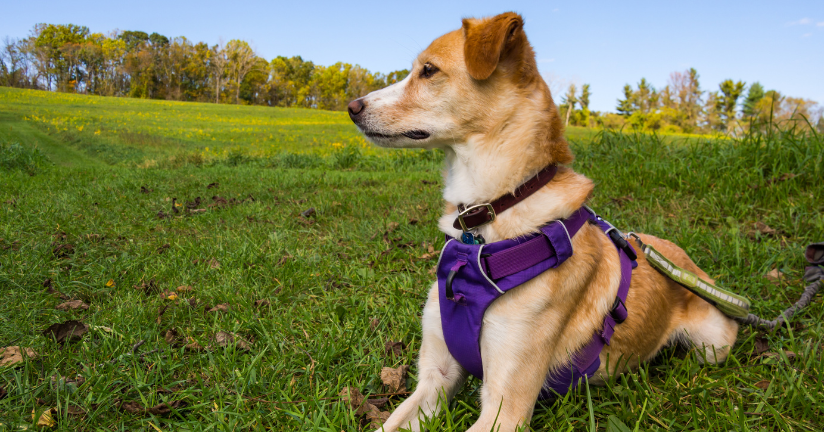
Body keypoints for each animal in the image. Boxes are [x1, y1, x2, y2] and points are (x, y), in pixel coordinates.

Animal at [344, 11, 736, 432]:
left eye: (429, 70)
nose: (352, 107)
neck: (490, 218)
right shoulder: (435, 378)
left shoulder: (505, 409)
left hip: (713, 344)